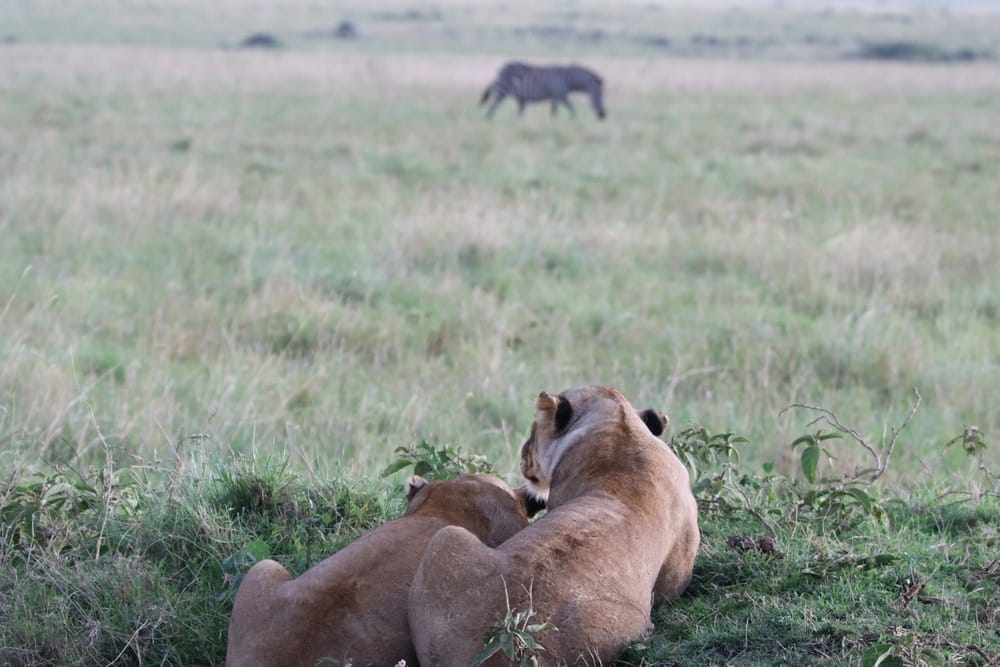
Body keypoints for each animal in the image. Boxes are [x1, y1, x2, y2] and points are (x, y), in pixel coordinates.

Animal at [408, 386, 700, 665]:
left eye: (533, 431)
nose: (522, 453)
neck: (622, 426)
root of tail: (505, 641)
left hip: (446, 537)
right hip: (447, 536)